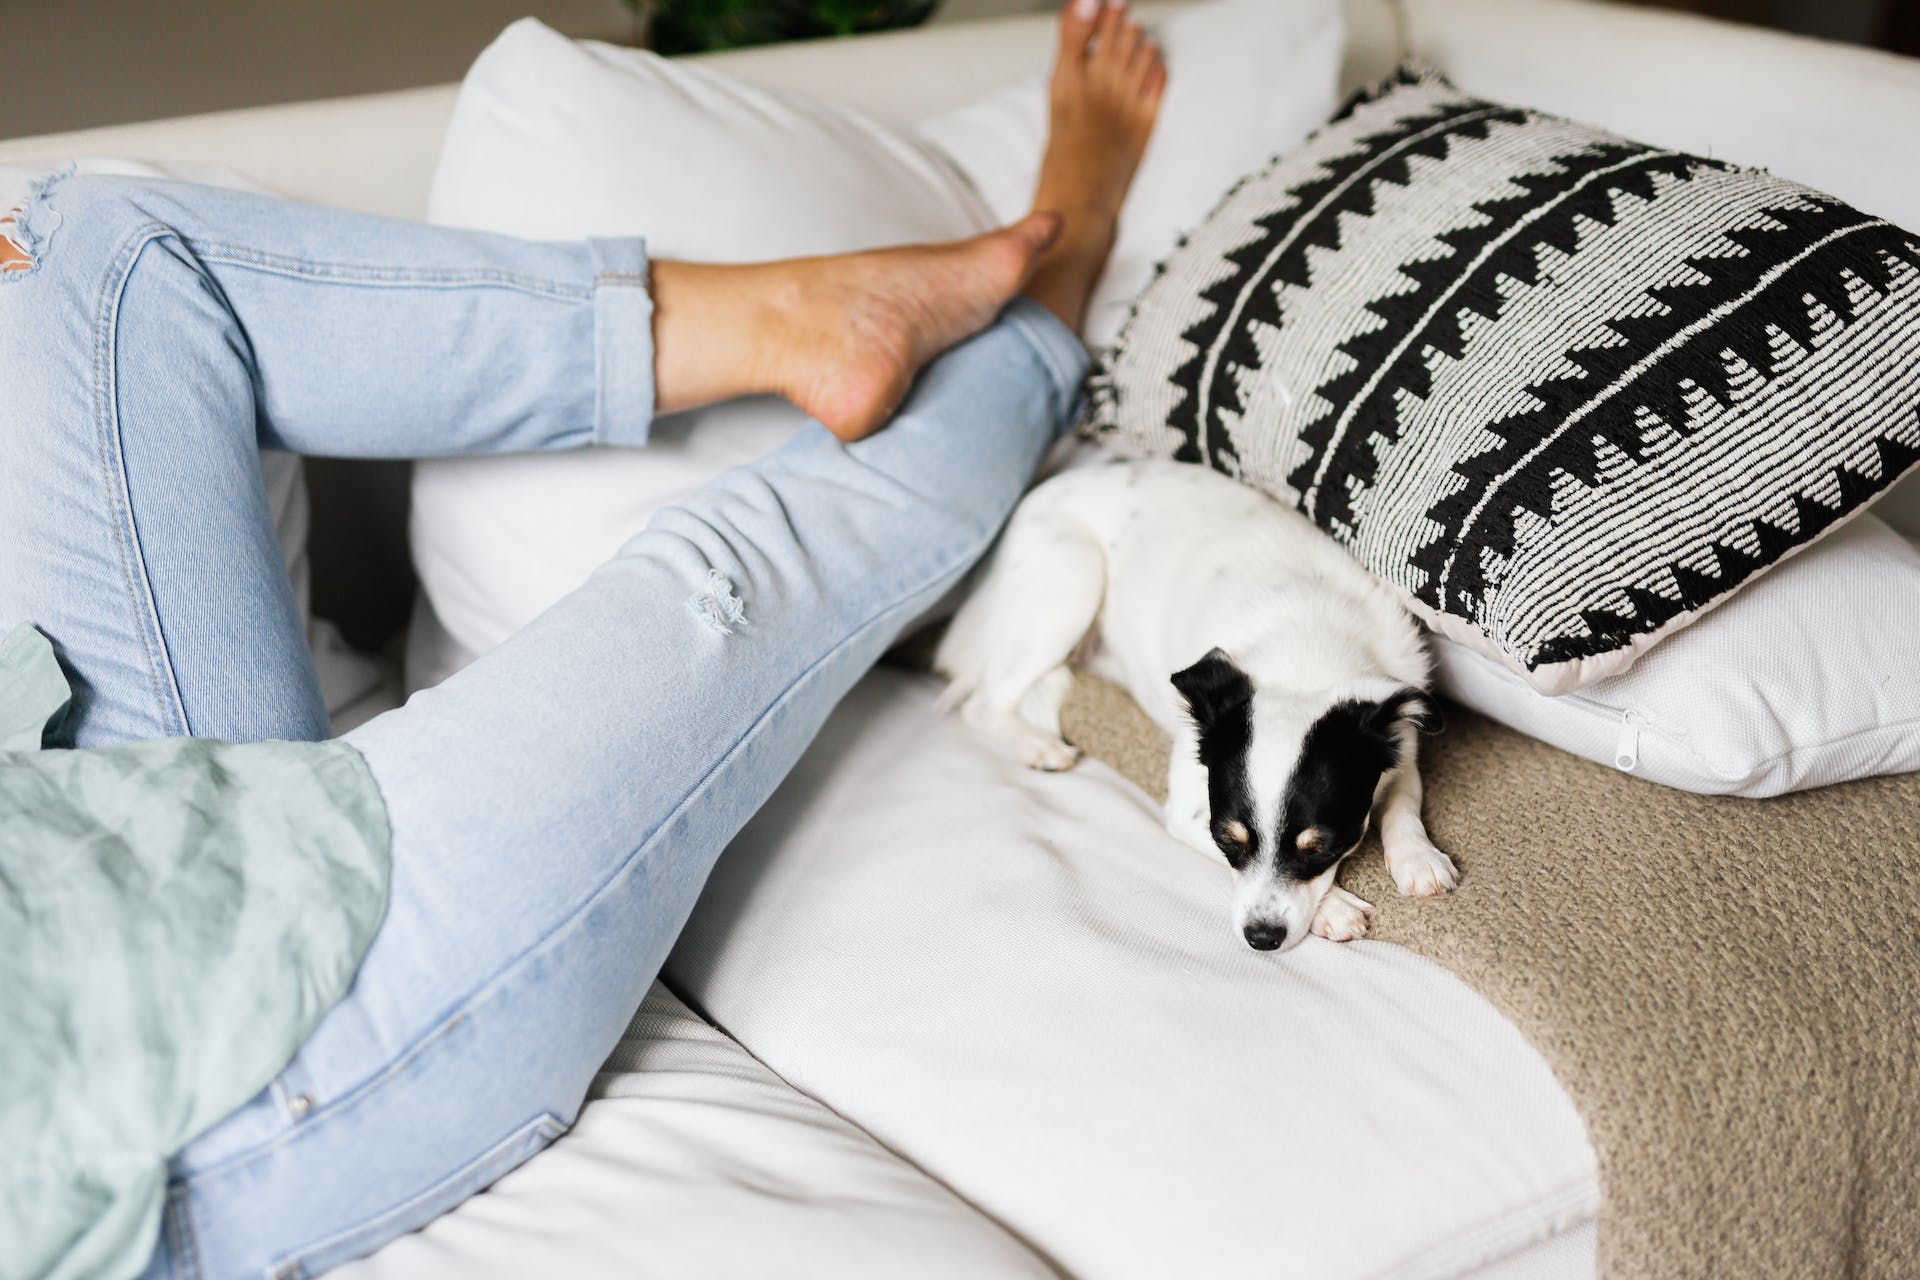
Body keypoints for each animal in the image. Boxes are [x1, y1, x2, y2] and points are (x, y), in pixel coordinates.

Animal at [936, 460, 1459, 951]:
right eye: (1227, 841)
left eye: (1320, 849)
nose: (1261, 938)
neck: (1305, 649)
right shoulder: (1189, 812)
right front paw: (1334, 908)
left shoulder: (1400, 745)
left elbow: (1403, 802)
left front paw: (1419, 858)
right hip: (1072, 580)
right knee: (983, 703)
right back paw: (1038, 746)